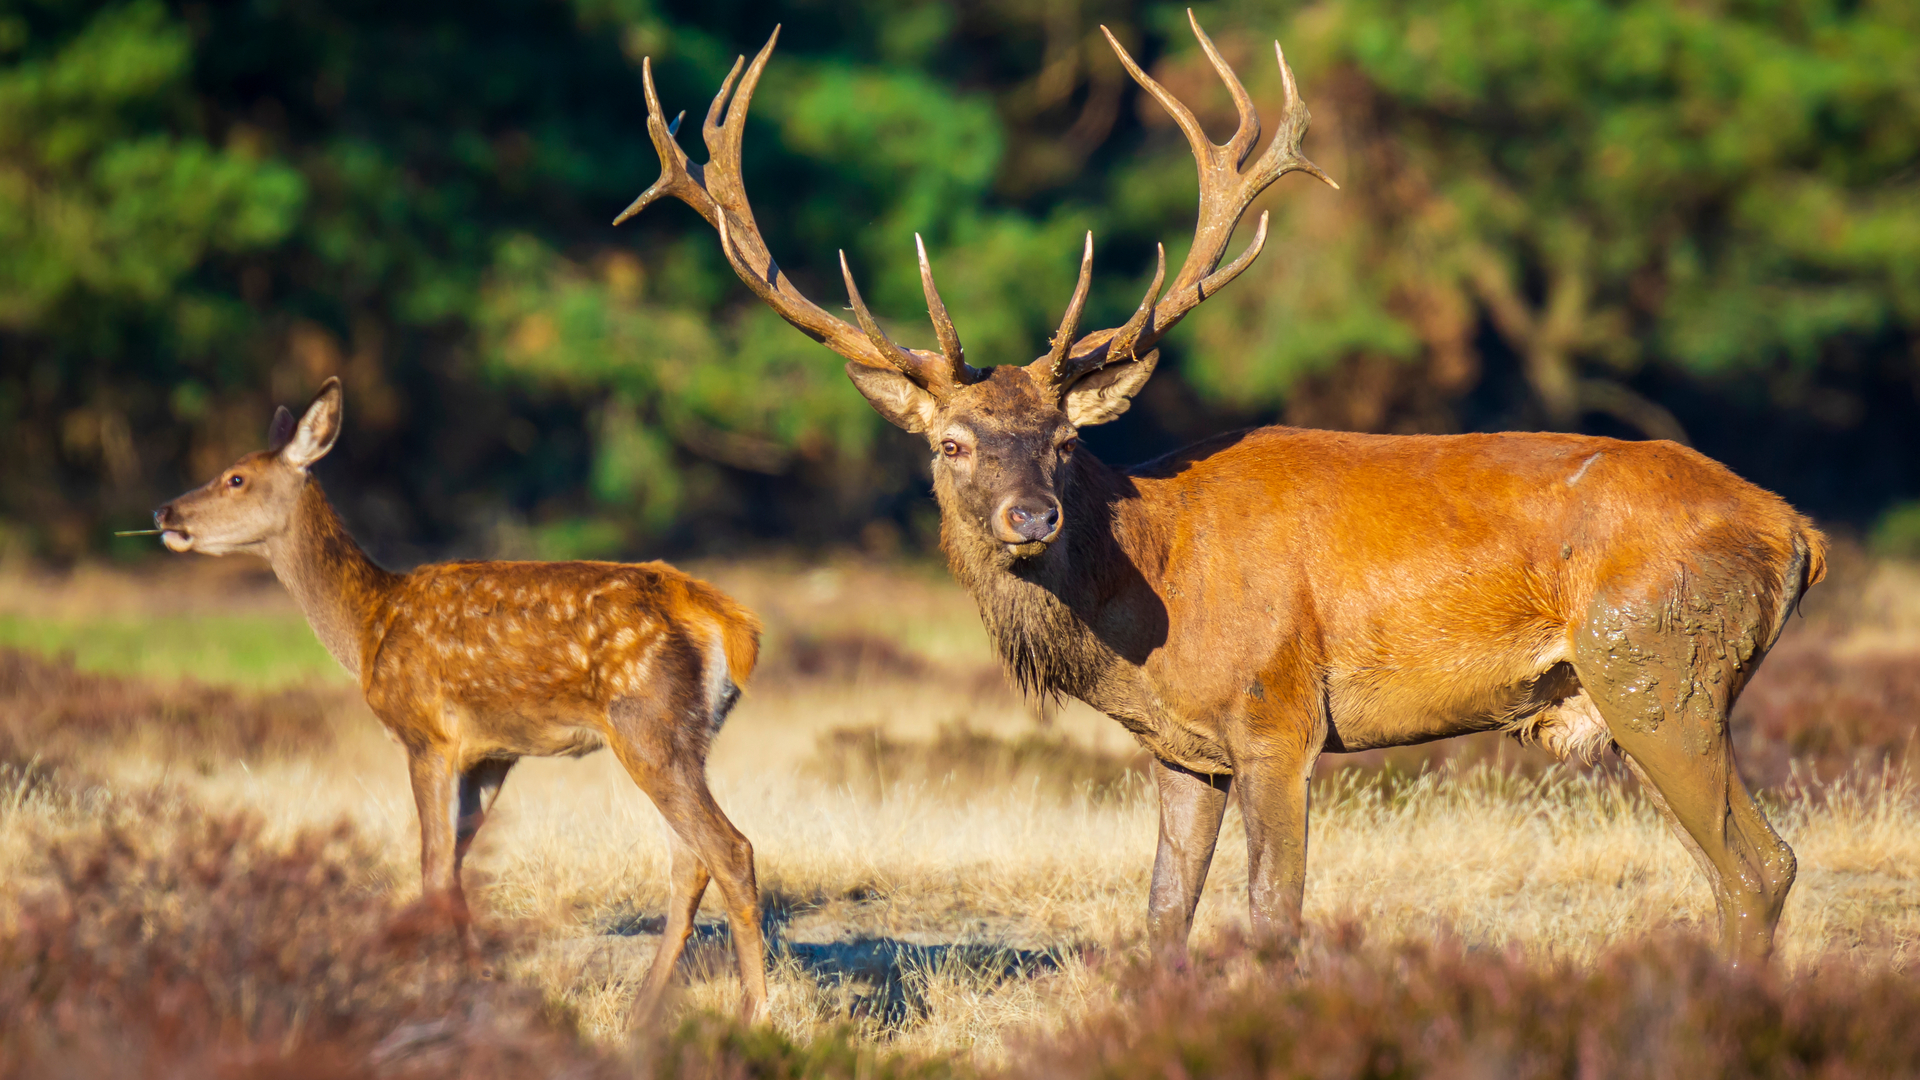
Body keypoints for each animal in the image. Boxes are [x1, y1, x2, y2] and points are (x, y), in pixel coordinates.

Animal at [152, 378, 770, 1021]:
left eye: (236, 478)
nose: (163, 513)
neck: (368, 628)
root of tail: (734, 626)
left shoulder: (425, 734)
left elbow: (430, 865)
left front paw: (433, 995)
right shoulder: (492, 752)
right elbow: (452, 867)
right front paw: (477, 983)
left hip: (647, 722)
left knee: (729, 849)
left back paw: (755, 1012)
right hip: (683, 738)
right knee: (689, 862)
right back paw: (642, 1010)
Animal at [615, 12, 1827, 965]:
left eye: (1064, 438)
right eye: (952, 443)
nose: (1029, 516)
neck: (1147, 609)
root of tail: (1797, 529)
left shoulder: (1278, 715)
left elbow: (1274, 915)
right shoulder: (1179, 749)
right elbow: (1164, 916)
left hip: (1659, 667)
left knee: (1756, 865)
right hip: (1652, 687)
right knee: (1746, 869)